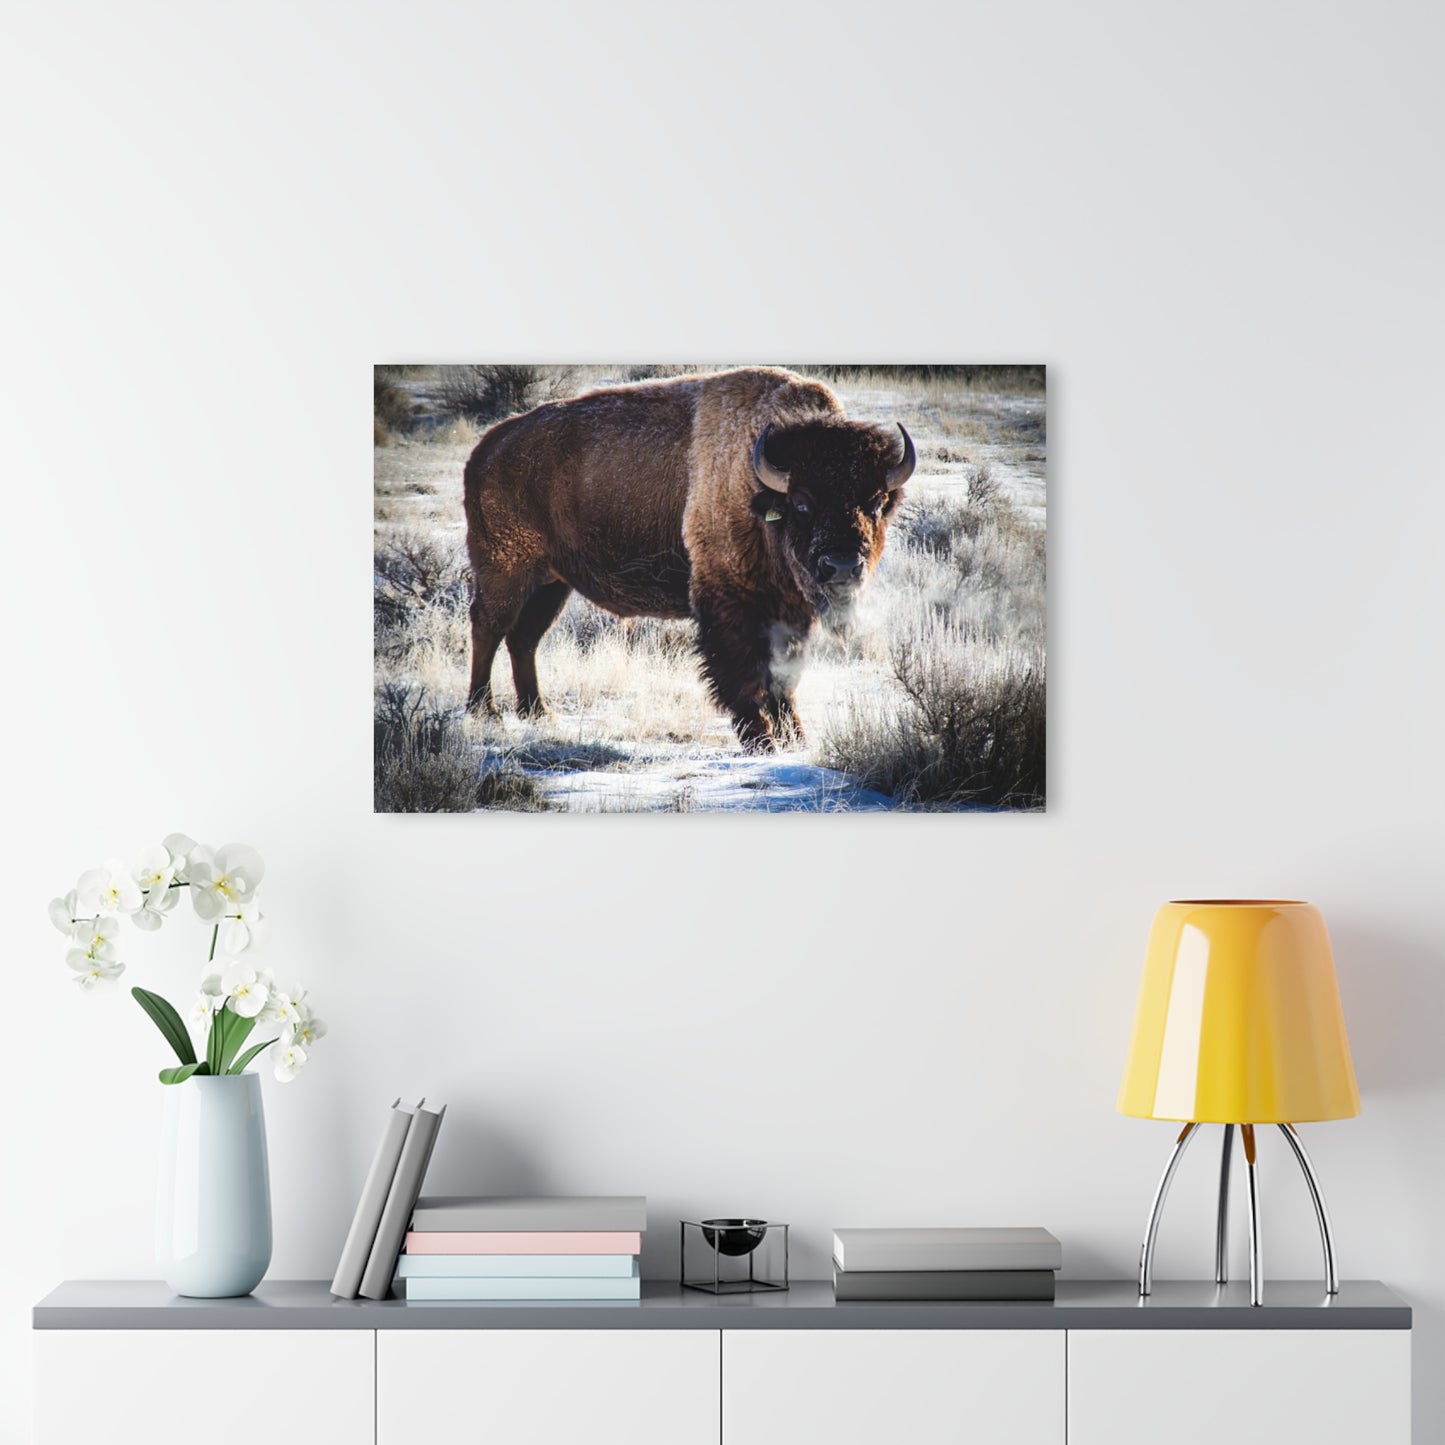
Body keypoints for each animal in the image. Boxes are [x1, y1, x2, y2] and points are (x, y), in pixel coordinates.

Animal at [462, 367, 915, 750]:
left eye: (876, 503)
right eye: (802, 504)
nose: (842, 566)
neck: (759, 486)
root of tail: (486, 448)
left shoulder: (792, 612)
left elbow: (784, 678)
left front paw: (795, 739)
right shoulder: (730, 603)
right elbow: (745, 674)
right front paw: (762, 741)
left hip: (552, 584)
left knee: (524, 639)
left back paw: (539, 713)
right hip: (506, 570)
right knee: (489, 627)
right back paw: (484, 711)